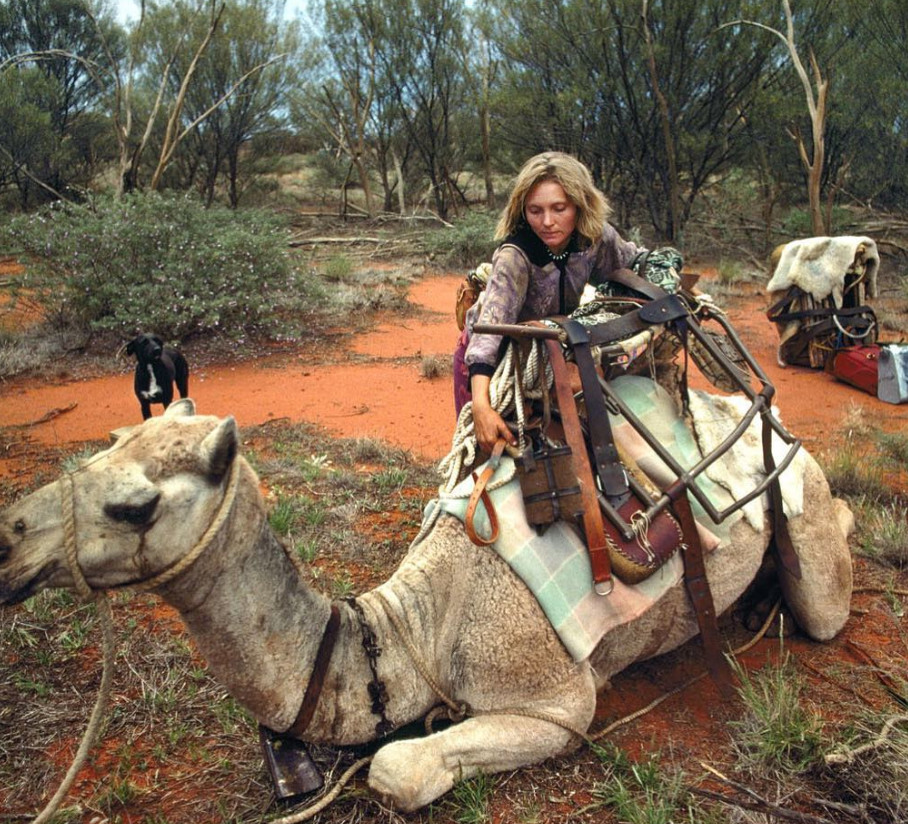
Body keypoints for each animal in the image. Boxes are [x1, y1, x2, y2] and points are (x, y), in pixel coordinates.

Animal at [0, 398, 852, 812]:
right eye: (106, 440)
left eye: (133, 507)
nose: (10, 542)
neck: (418, 627)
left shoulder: (558, 701)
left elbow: (395, 767)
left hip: (802, 499)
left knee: (826, 584)